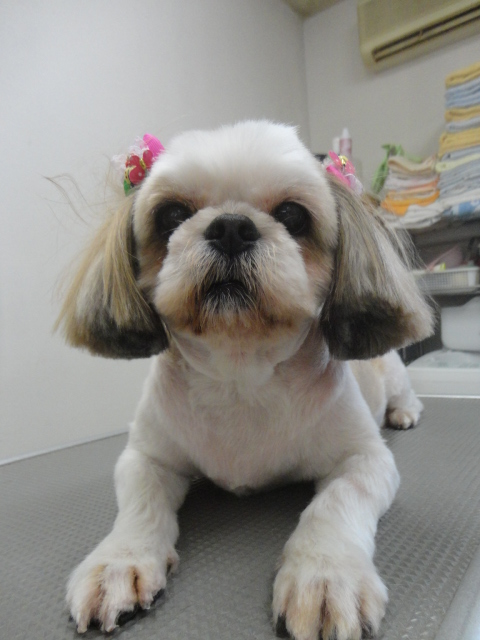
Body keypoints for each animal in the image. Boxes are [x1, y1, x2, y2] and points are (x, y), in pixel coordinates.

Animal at [57, 121, 433, 640]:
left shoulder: (364, 459)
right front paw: (116, 562)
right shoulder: (145, 458)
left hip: (391, 369)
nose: (231, 227)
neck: (240, 375)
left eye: (293, 215)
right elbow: (140, 505)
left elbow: (337, 501)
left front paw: (325, 576)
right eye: (171, 214)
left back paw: (404, 412)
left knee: (405, 389)